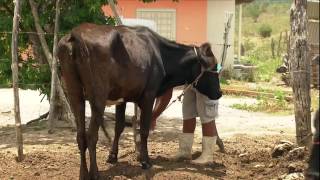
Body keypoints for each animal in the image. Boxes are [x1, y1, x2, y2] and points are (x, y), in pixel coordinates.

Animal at [57, 23, 221, 179]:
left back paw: (83, 173)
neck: (161, 54)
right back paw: (95, 173)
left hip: (74, 94)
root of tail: (76, 33)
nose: (219, 93)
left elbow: (119, 126)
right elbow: (143, 129)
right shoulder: (148, 95)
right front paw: (145, 160)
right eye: (213, 67)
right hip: (98, 97)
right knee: (91, 135)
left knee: (81, 136)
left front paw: (112, 156)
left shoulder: (122, 98)